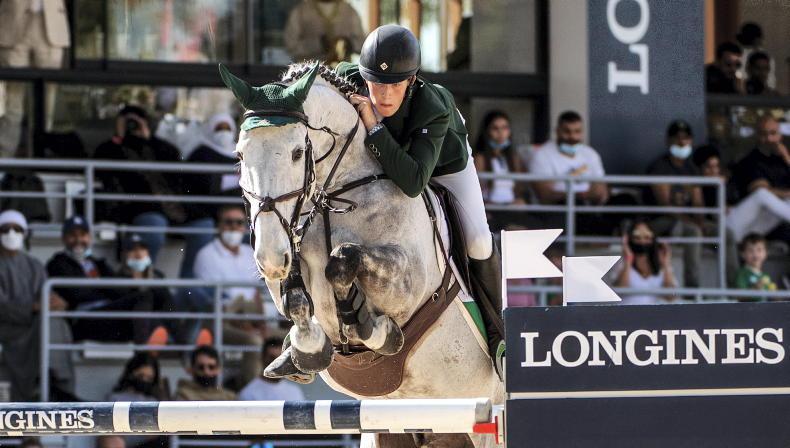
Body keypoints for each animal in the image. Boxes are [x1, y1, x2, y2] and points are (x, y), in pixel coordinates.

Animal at [226, 64, 504, 448]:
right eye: (240, 155)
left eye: (297, 152)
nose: (268, 256)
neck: (338, 192)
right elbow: (295, 297)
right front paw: (307, 349)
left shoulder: (407, 284)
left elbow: (343, 260)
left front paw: (378, 330)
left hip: (485, 416)